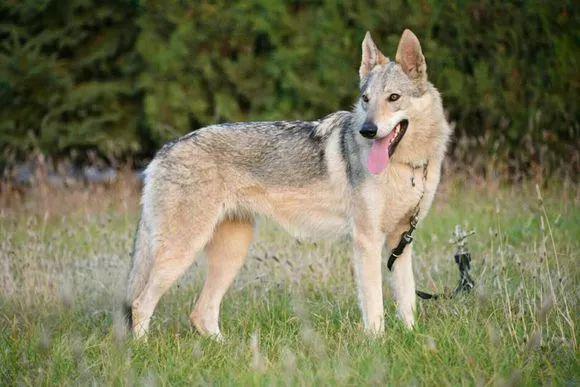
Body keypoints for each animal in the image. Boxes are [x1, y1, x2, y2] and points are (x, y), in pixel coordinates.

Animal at [125, 29, 454, 340]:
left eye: (394, 98)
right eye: (366, 99)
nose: (367, 130)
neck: (408, 168)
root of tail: (162, 151)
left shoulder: (401, 242)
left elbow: (407, 302)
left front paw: (412, 338)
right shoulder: (367, 241)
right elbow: (375, 307)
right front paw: (377, 344)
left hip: (231, 253)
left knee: (200, 313)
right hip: (183, 251)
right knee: (140, 303)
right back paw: (141, 350)